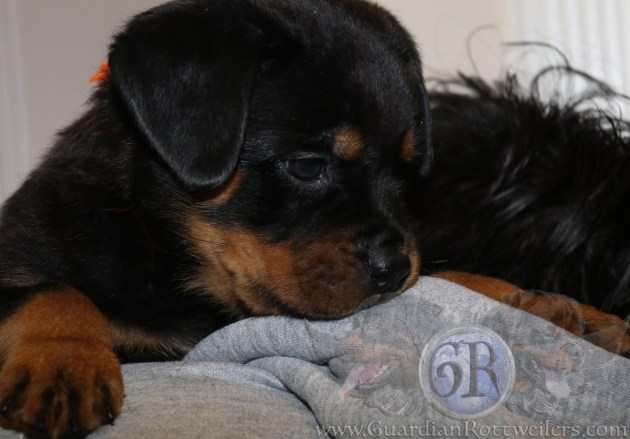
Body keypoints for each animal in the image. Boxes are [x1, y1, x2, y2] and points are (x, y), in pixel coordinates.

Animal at [0, 1, 628, 438]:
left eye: (404, 174)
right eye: (307, 165)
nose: (394, 267)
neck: (157, 241)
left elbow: (451, 280)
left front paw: (553, 311)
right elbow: (51, 288)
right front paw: (63, 363)